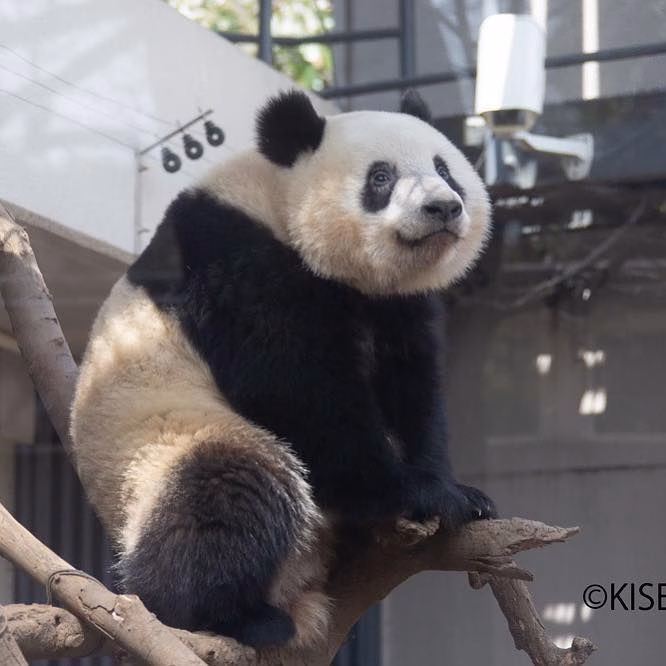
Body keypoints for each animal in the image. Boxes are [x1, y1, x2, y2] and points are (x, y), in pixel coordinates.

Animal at [70, 89, 496, 649]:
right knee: (228, 491)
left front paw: (458, 491)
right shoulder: (237, 265)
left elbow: (413, 390)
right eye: (381, 177)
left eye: (444, 168)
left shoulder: (396, 308)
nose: (444, 206)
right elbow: (297, 388)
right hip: (157, 446)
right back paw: (227, 615)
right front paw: (416, 493)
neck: (275, 201)